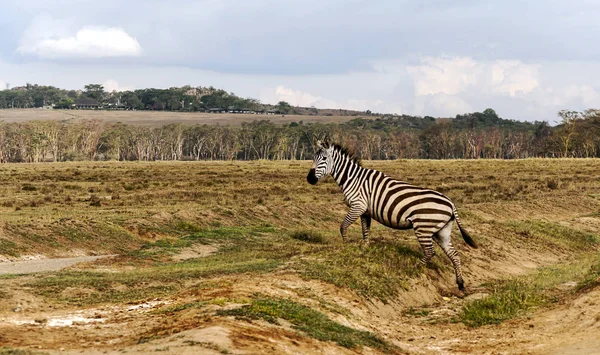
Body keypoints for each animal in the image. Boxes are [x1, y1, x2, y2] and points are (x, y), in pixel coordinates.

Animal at [304, 140, 478, 294]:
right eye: (313, 158)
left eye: (324, 159)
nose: (309, 179)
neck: (352, 179)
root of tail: (451, 203)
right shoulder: (365, 211)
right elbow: (365, 231)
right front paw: (365, 248)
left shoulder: (358, 206)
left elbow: (343, 226)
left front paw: (346, 244)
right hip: (441, 231)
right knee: (454, 255)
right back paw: (460, 284)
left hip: (423, 227)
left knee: (430, 252)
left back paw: (414, 268)